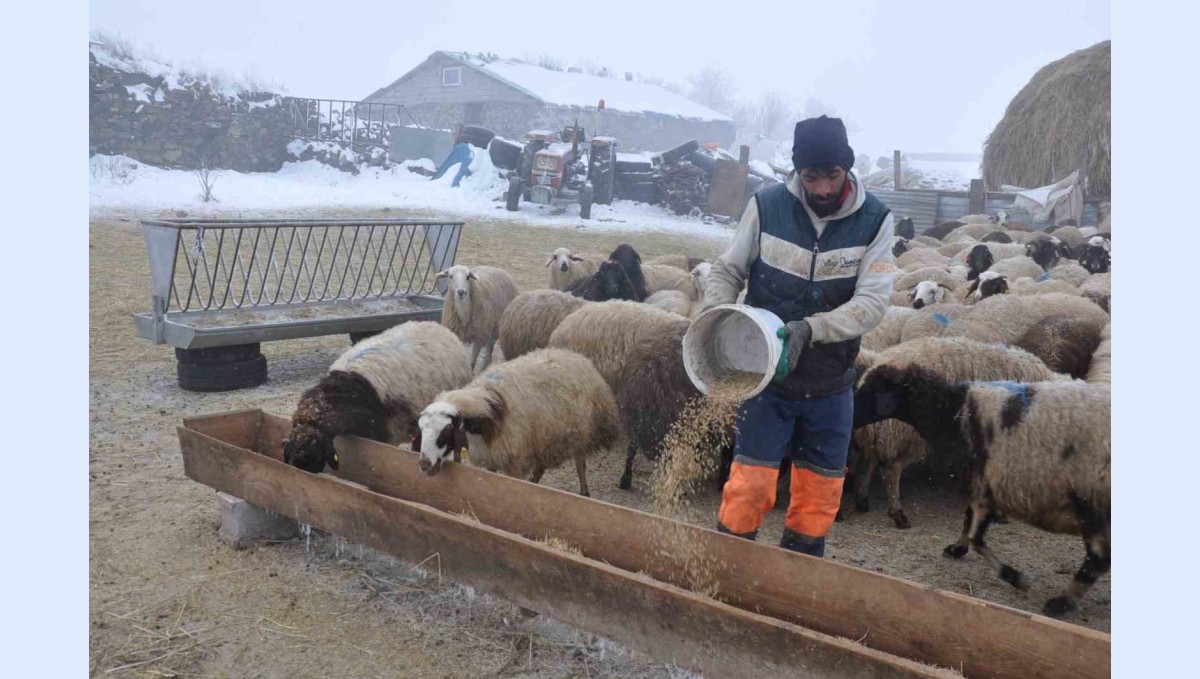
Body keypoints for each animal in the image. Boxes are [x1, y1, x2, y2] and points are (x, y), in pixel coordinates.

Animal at [415, 347, 624, 496]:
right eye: (421, 429)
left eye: (447, 430)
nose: (424, 465)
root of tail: (574, 355)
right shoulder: (489, 456)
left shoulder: (515, 461)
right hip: (546, 437)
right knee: (541, 467)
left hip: (578, 433)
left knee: (580, 463)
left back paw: (584, 492)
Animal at [849, 340, 1065, 532]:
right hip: (909, 437)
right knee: (892, 470)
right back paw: (898, 514)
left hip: (883, 435)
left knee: (871, 460)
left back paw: (862, 499)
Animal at [859, 364, 1108, 619]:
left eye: (872, 391)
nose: (854, 419)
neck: (950, 413)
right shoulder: (981, 485)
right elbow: (968, 523)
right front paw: (957, 549)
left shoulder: (985, 486)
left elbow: (976, 537)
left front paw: (1016, 578)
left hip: (1090, 504)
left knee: (1098, 559)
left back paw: (1062, 602)